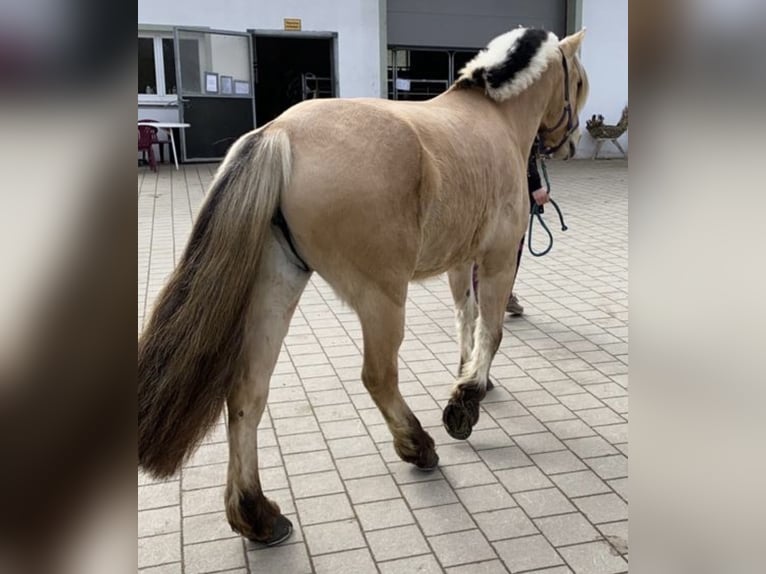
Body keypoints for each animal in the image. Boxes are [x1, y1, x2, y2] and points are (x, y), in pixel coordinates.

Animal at [138, 27, 589, 546]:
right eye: (578, 82)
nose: (571, 143)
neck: (491, 117)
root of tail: (279, 135)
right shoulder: (496, 257)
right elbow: (490, 330)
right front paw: (465, 400)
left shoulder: (461, 262)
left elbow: (467, 319)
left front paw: (468, 375)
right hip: (382, 299)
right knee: (378, 377)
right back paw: (417, 445)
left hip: (276, 287)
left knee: (248, 392)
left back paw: (257, 514)